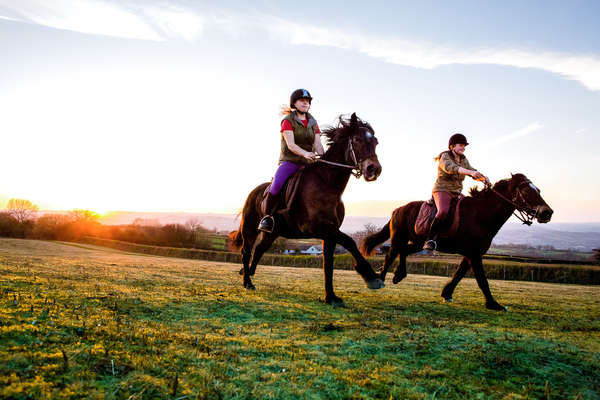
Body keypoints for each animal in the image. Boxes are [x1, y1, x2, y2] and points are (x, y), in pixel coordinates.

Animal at [230, 112, 384, 306]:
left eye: (376, 142)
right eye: (357, 139)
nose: (374, 169)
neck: (328, 184)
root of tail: (254, 191)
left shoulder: (329, 233)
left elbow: (328, 264)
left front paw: (330, 297)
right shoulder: (319, 228)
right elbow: (349, 242)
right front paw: (372, 277)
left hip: (272, 233)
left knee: (259, 250)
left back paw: (248, 273)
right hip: (250, 228)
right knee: (247, 251)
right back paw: (247, 282)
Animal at [360, 173, 552, 310]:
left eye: (539, 190)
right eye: (527, 192)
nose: (547, 213)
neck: (480, 214)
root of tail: (398, 209)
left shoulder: (471, 254)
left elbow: (459, 274)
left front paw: (447, 294)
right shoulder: (474, 254)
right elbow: (482, 279)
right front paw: (493, 304)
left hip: (417, 242)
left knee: (403, 251)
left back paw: (399, 274)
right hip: (399, 238)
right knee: (390, 255)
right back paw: (380, 280)